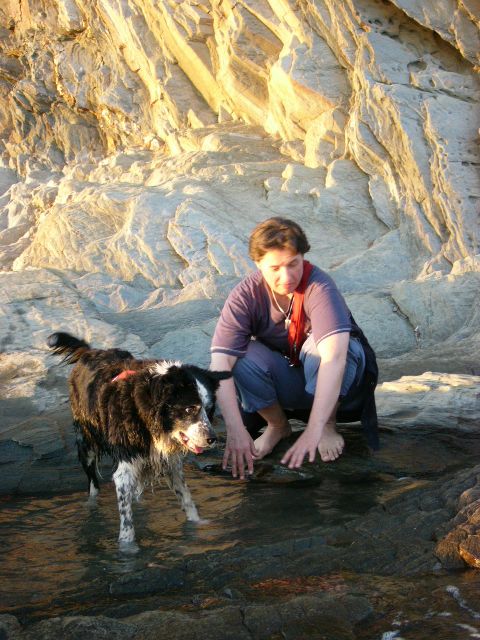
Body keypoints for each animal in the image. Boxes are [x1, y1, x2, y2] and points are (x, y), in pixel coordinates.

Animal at [47, 332, 231, 547]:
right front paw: (127, 548)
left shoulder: (170, 463)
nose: (212, 439)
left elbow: (187, 498)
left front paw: (198, 526)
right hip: (86, 443)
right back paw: (92, 506)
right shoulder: (125, 466)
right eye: (189, 409)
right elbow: (126, 520)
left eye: (209, 409)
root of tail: (89, 352)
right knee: (93, 483)